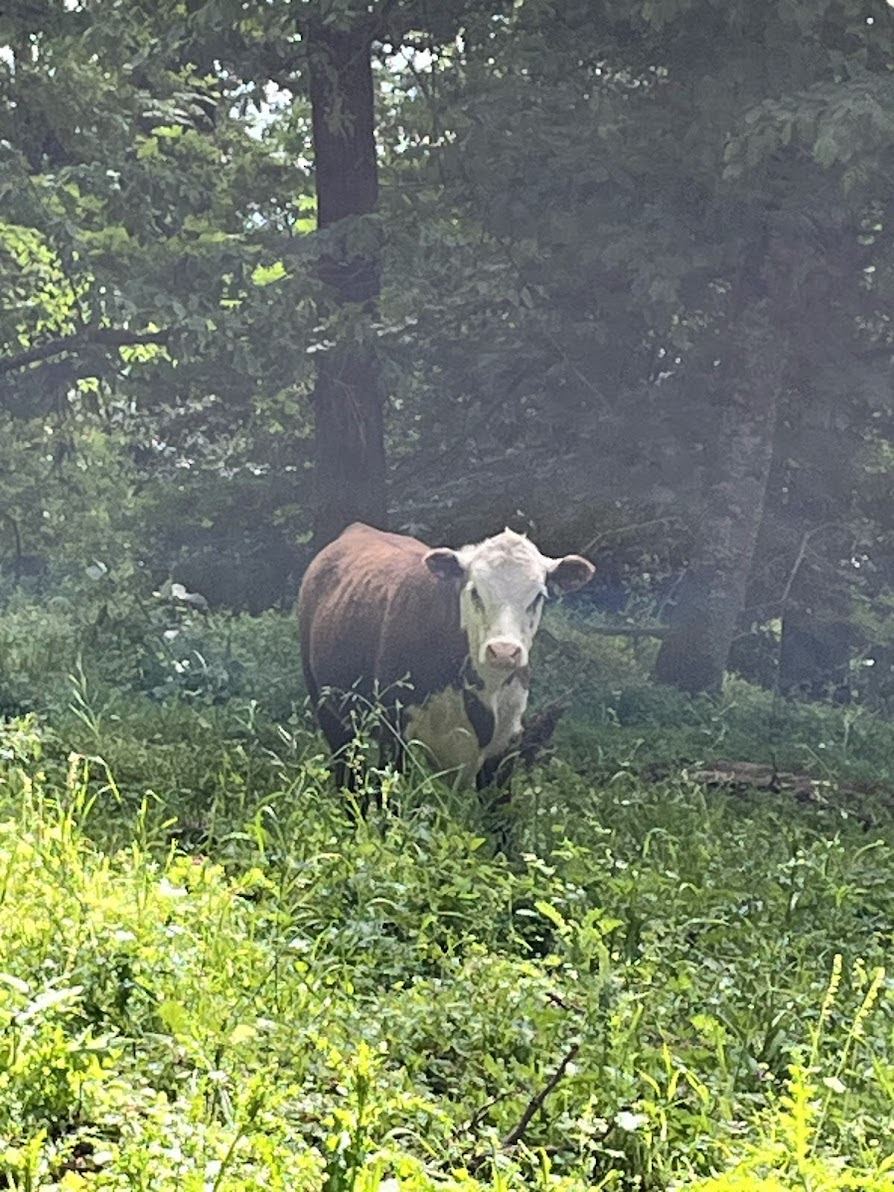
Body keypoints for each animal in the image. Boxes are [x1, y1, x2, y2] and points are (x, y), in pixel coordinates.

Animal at [298, 522, 594, 792]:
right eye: (474, 591)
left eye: (538, 596)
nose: (503, 651)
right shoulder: (394, 730)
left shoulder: (505, 745)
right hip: (328, 709)